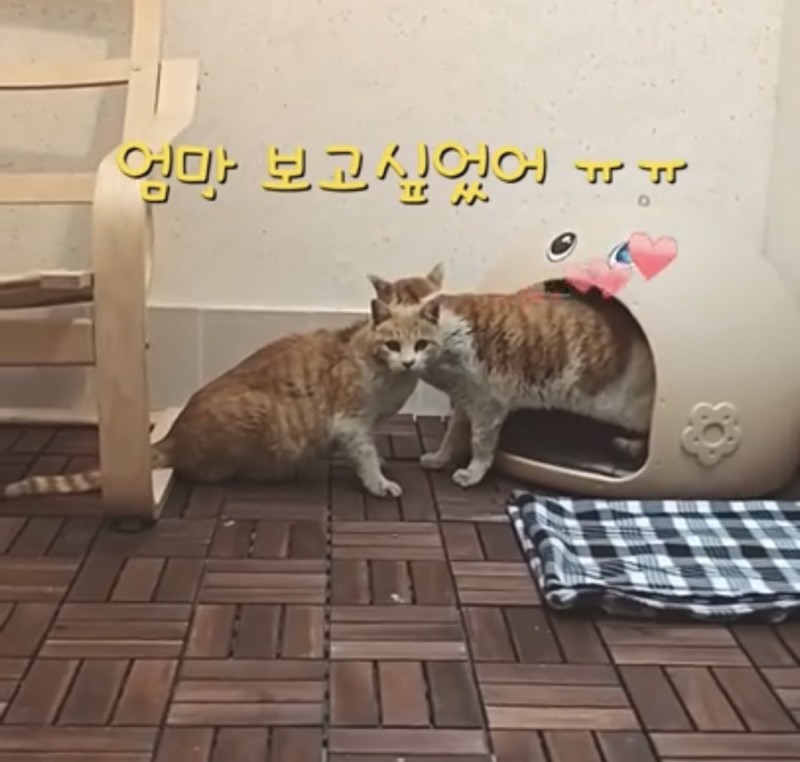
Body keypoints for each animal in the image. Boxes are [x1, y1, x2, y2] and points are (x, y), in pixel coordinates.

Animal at [1, 266, 444, 502]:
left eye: (421, 344)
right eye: (393, 344)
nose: (409, 360)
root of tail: (173, 435)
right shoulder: (350, 421)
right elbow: (365, 456)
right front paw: (379, 482)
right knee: (204, 470)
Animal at [393, 288, 655, 488]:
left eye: (418, 343)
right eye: (392, 344)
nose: (407, 362)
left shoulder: (487, 408)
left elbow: (480, 446)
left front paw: (472, 474)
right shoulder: (465, 403)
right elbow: (451, 437)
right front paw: (438, 459)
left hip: (629, 410)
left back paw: (631, 446)